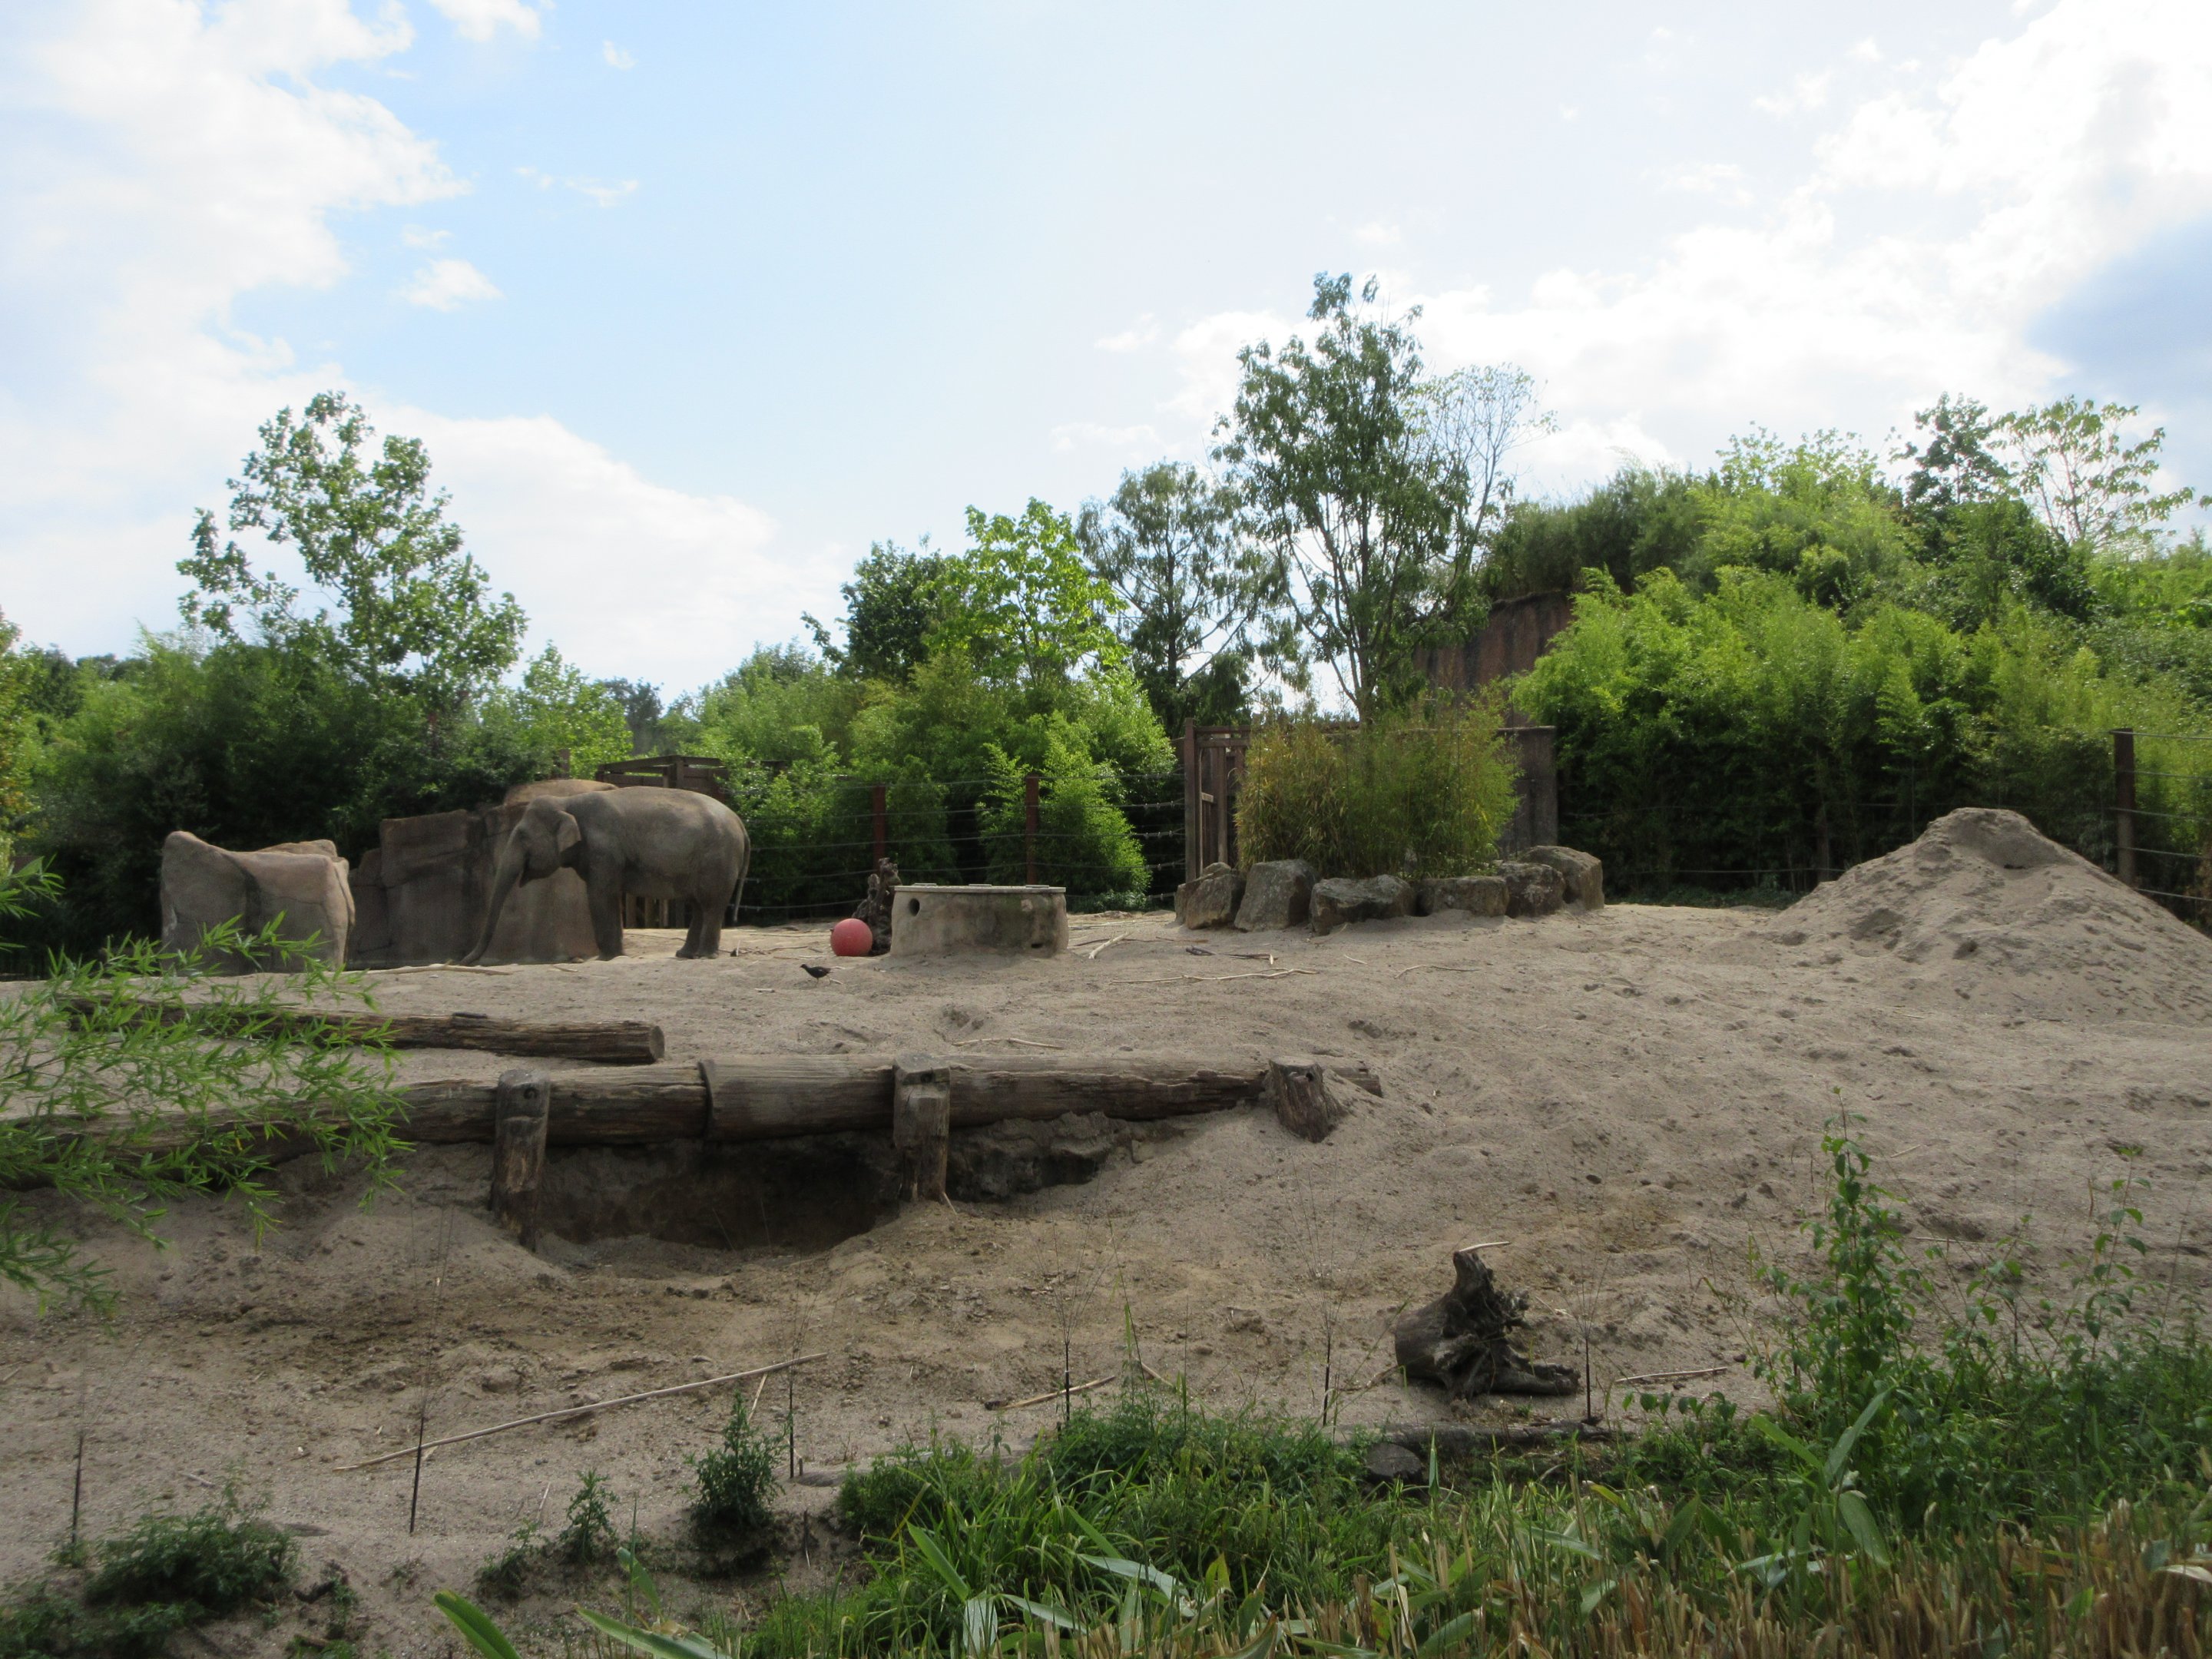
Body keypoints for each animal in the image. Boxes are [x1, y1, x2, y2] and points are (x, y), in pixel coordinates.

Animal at [463, 787, 749, 964]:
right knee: (699, 905)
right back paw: (685, 954)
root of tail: (740, 822)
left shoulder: (604, 850)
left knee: (711, 904)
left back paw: (705, 956)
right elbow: (608, 895)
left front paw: (606, 958)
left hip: (718, 861)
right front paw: (617, 955)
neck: (567, 802)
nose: (464, 961)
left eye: (522, 836)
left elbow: (600, 895)